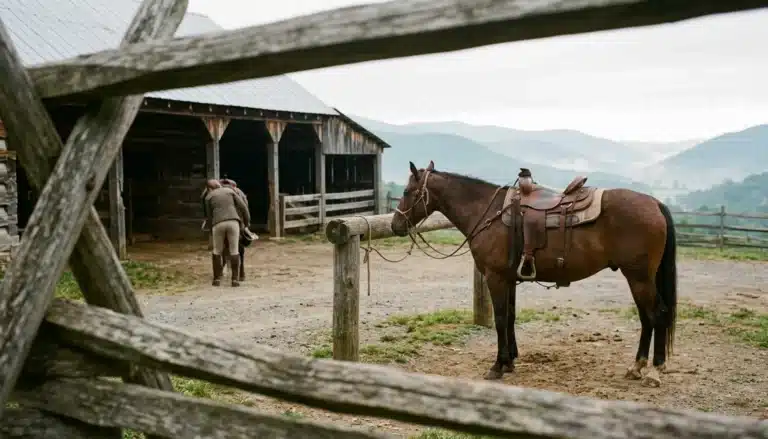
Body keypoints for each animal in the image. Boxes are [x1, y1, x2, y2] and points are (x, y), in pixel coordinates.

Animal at [390, 160, 677, 387]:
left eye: (407, 191)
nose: (395, 225)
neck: (487, 211)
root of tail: (655, 203)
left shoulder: (495, 277)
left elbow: (501, 319)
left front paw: (498, 366)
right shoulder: (509, 278)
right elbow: (510, 317)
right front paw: (510, 362)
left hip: (639, 278)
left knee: (657, 314)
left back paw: (654, 371)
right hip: (639, 279)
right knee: (647, 318)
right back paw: (637, 367)